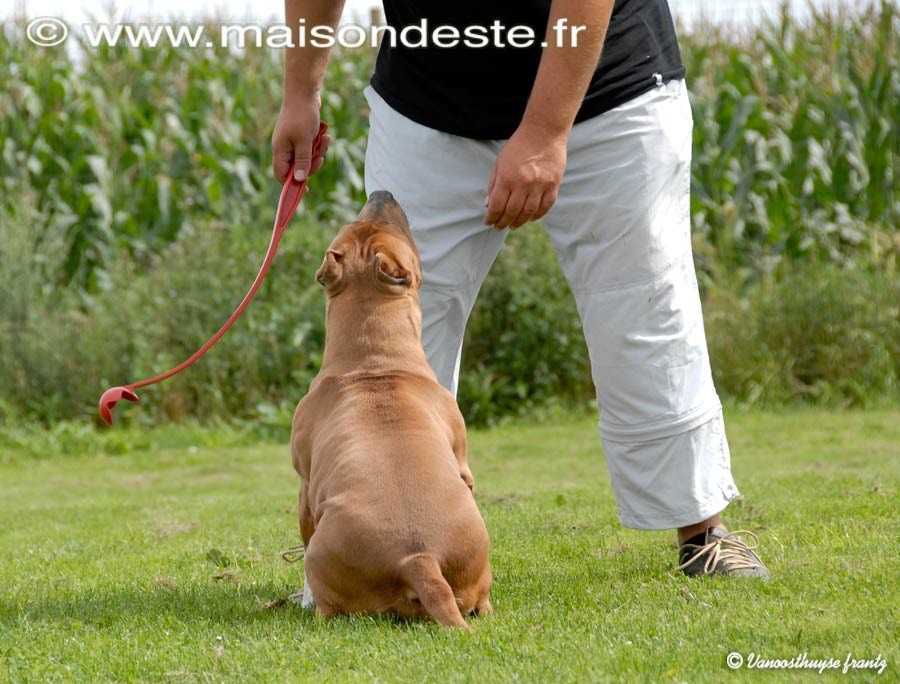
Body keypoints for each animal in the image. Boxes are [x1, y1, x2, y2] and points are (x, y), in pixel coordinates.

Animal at [290, 191, 492, 629]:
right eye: (356, 223)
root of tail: (419, 557)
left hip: (323, 557)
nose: (380, 193)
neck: (373, 360)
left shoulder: (304, 491)